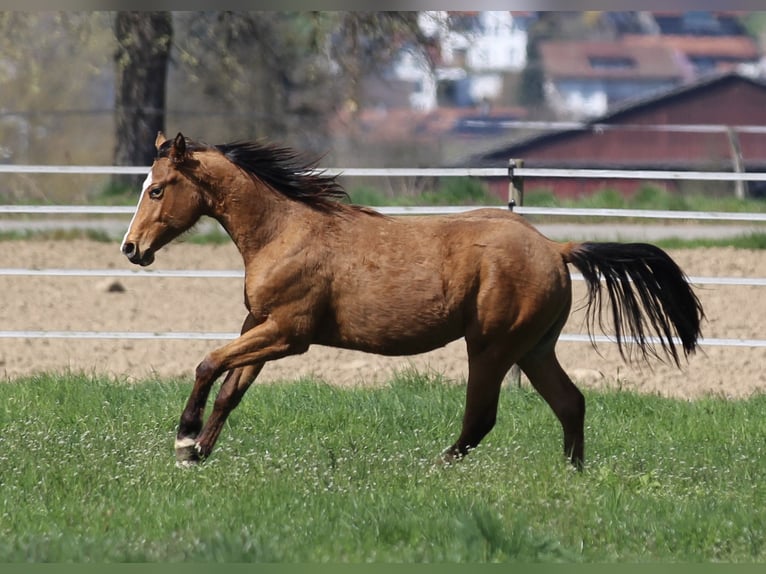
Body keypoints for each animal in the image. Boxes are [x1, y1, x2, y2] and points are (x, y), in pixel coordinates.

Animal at [121, 132, 704, 469]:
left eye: (157, 188)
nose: (132, 248)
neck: (283, 232)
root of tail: (555, 248)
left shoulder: (288, 334)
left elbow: (208, 363)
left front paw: (184, 439)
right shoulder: (260, 326)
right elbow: (230, 389)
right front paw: (198, 452)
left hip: (490, 347)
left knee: (481, 418)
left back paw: (435, 468)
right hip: (534, 349)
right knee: (570, 403)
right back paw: (570, 476)